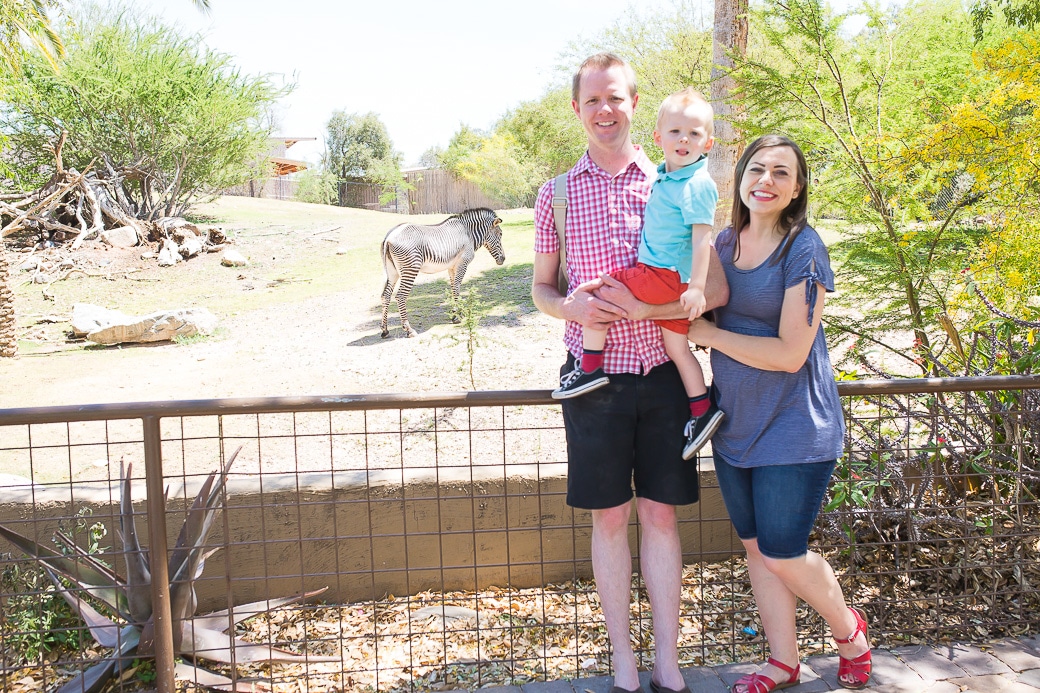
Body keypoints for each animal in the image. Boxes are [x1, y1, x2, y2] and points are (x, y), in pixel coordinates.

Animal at [380, 208, 505, 337]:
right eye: (500, 234)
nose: (503, 259)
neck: (468, 234)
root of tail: (390, 236)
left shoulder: (451, 267)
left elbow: (453, 288)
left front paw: (455, 314)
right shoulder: (462, 263)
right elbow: (457, 287)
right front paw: (457, 315)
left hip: (392, 272)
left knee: (386, 295)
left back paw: (385, 330)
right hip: (410, 269)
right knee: (400, 296)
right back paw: (409, 330)